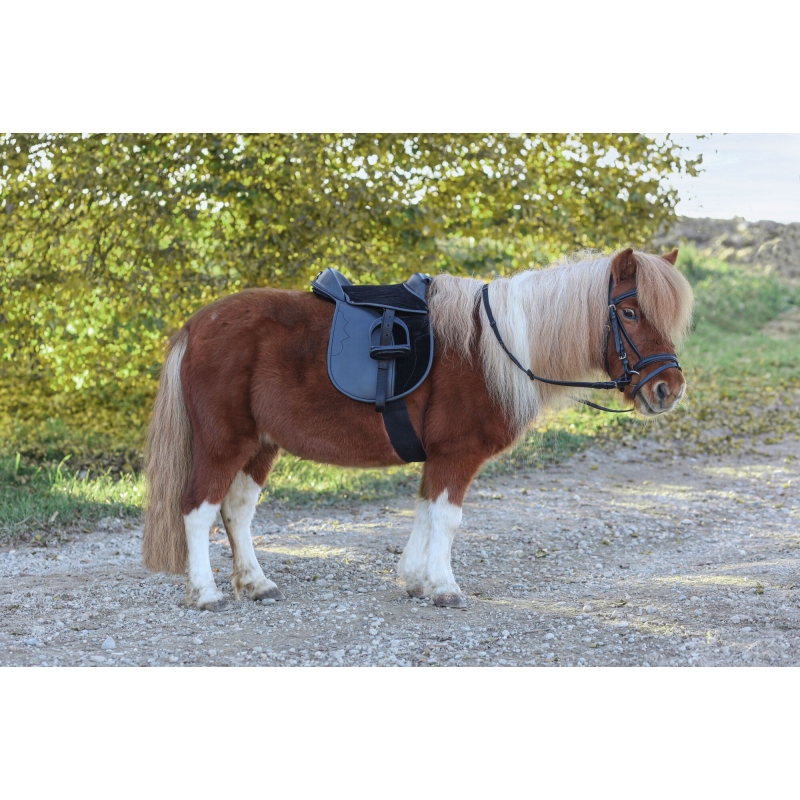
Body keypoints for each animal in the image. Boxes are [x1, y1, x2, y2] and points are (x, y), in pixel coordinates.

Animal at [142, 247, 693, 610]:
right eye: (629, 311)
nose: (668, 389)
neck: (492, 348)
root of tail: (196, 325)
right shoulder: (457, 453)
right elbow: (447, 519)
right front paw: (444, 588)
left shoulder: (440, 456)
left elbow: (427, 511)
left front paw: (415, 579)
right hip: (224, 442)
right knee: (198, 510)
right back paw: (206, 593)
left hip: (261, 445)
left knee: (236, 511)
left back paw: (255, 584)